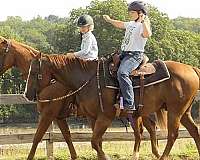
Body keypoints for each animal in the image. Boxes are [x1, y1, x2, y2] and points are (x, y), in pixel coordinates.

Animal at [0, 36, 161, 160]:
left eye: (1, 51)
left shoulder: (48, 114)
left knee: (148, 129)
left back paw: (153, 153)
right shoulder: (59, 117)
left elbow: (37, 137)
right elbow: (67, 136)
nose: (26, 94)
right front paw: (75, 156)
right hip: (136, 114)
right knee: (144, 131)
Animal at [24, 53, 200, 160]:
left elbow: (93, 142)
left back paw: (160, 156)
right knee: (192, 131)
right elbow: (87, 140)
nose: (27, 94)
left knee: (171, 135)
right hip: (182, 112)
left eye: (33, 73)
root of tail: (191, 68)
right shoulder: (88, 117)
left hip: (174, 111)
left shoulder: (104, 117)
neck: (87, 80)